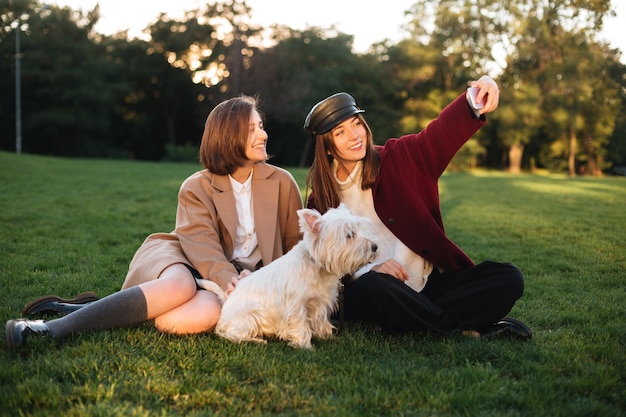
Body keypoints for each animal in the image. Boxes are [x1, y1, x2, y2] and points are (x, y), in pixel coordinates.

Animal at [212, 204, 378, 348]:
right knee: (229, 334)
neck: (317, 267)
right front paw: (305, 346)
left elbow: (321, 320)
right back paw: (256, 340)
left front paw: (327, 336)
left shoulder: (321, 302)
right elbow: (300, 324)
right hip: (249, 317)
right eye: (349, 235)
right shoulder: (296, 305)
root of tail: (226, 304)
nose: (375, 247)